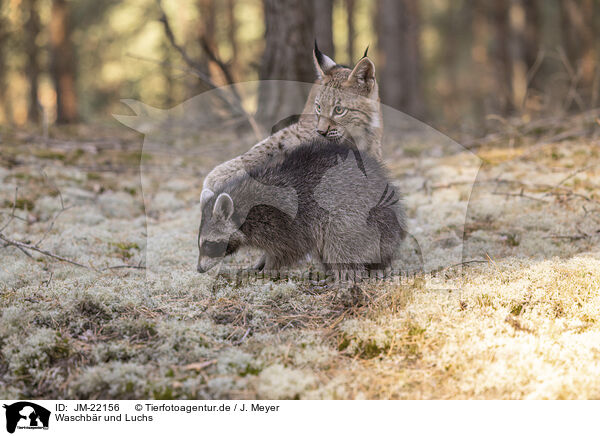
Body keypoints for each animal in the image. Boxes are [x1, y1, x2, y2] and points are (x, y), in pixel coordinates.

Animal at [198, 137, 408, 280]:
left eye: (208, 244)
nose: (198, 269)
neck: (245, 210)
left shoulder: (284, 221)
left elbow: (288, 250)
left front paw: (268, 268)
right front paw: (261, 262)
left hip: (361, 214)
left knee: (340, 239)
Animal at [200, 43, 380, 192]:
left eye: (339, 110)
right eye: (318, 107)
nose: (321, 132)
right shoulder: (301, 132)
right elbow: (267, 146)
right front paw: (220, 176)